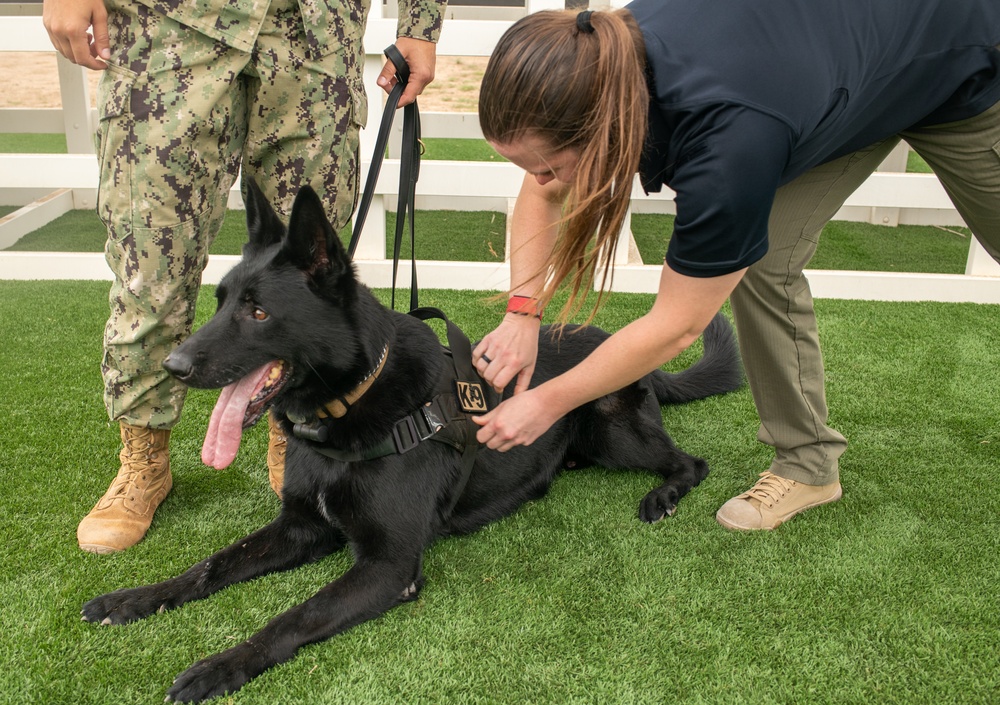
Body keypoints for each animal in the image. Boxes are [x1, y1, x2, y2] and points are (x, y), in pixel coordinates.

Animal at [82, 180, 744, 700]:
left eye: (259, 312)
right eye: (218, 302)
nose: (173, 365)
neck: (350, 409)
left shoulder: (388, 564)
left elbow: (293, 615)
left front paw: (222, 665)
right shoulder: (299, 527)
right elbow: (209, 566)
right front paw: (135, 598)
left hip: (612, 429)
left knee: (692, 461)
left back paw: (664, 495)